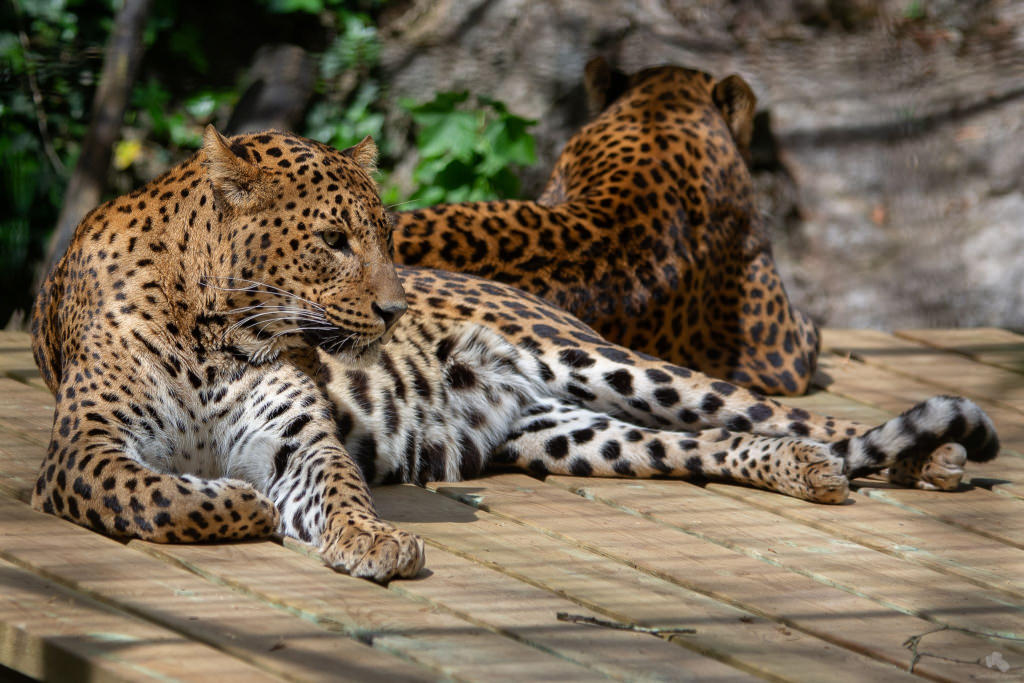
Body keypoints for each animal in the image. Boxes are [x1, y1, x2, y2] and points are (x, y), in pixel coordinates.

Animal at [32, 126, 999, 581]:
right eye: (335, 240)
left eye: (384, 234)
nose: (395, 308)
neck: (218, 327)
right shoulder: (81, 451)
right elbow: (161, 494)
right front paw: (239, 504)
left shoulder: (297, 439)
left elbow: (336, 488)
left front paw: (371, 539)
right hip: (577, 434)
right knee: (713, 442)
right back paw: (810, 468)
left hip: (606, 365)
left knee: (784, 413)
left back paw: (929, 457)